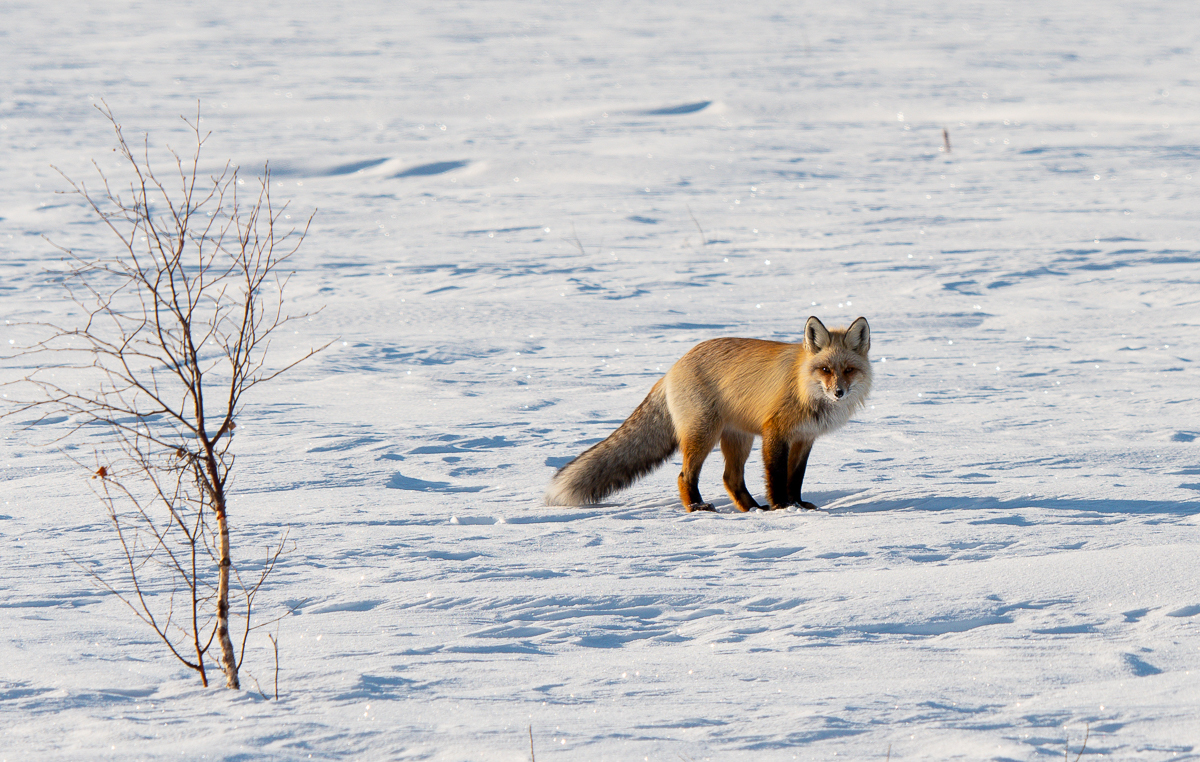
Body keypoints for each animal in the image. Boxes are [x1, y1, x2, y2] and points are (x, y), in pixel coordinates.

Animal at [547, 316, 873, 513]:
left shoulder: (805, 438)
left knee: (730, 478)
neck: (805, 389)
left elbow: (796, 478)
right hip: (704, 434)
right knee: (684, 476)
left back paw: (752, 509)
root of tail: (671, 369)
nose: (838, 393)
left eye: (848, 370)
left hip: (737, 439)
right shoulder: (776, 433)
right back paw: (697, 507)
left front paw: (797, 505)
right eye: (825, 369)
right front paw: (782, 508)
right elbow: (777, 477)